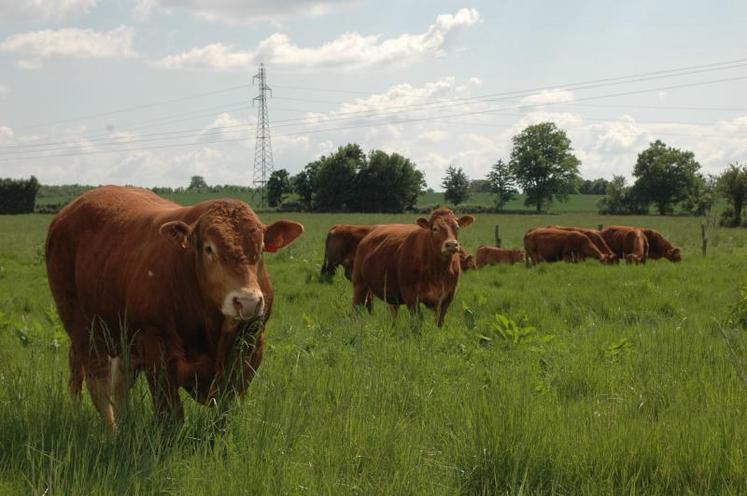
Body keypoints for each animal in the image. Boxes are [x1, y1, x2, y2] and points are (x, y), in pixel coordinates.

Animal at [46, 184, 304, 432]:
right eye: (209, 248)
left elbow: (225, 412)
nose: (248, 301)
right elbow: (171, 415)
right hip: (82, 327)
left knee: (119, 382)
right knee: (98, 384)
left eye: (260, 248)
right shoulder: (156, 348)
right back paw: (113, 434)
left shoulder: (250, 347)